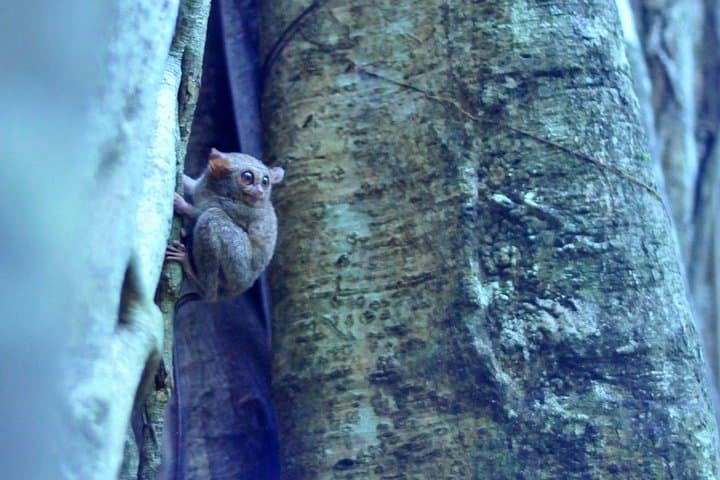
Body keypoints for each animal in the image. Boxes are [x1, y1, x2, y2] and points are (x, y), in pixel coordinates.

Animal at [165, 148, 285, 301]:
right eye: (247, 177)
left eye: (265, 181)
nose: (259, 191)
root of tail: (231, 293)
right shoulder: (199, 187)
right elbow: (191, 186)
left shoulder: (241, 210)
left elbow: (201, 214)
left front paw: (180, 204)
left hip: (237, 266)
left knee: (212, 217)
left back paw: (192, 273)